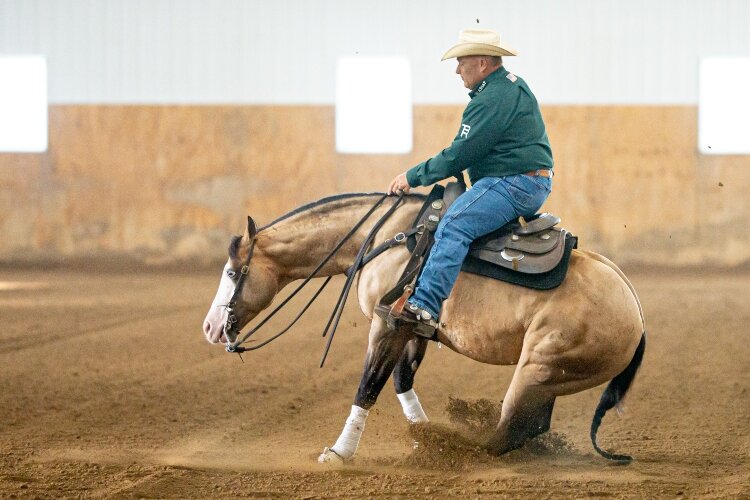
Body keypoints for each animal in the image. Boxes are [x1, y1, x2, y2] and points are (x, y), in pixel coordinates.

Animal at [204, 192, 648, 464]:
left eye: (232, 271)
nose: (210, 328)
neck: (385, 238)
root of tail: (637, 312)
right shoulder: (413, 329)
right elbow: (402, 383)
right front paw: (423, 436)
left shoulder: (385, 325)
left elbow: (368, 386)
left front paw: (339, 453)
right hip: (548, 379)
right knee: (529, 427)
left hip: (536, 368)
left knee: (511, 429)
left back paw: (467, 450)